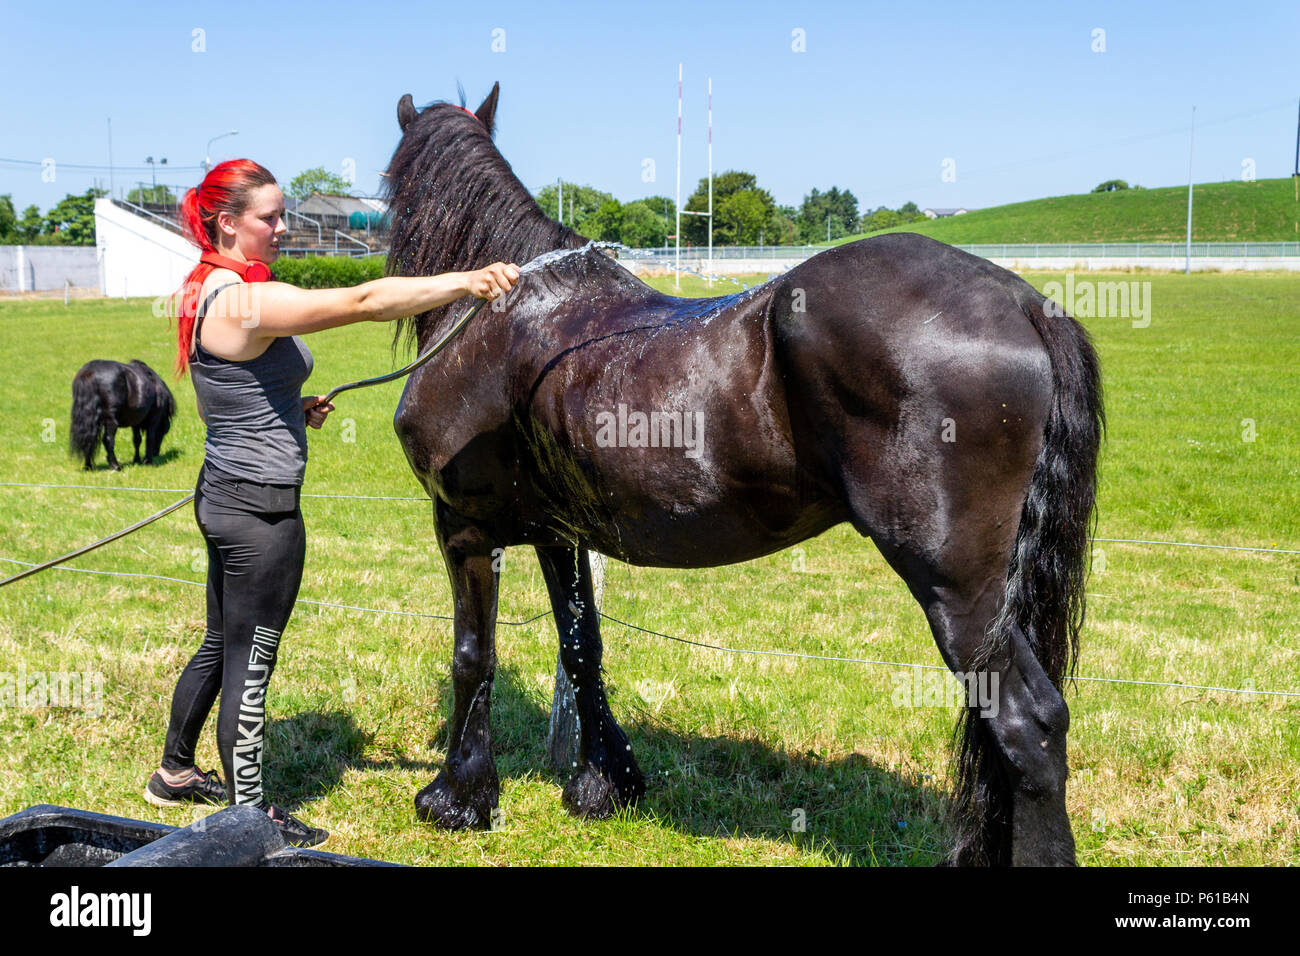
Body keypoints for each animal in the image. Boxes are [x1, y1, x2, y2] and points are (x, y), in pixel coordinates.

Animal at [379, 83, 1102, 868]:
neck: (496, 309)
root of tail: (1025, 303)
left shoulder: (465, 526)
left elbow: (472, 656)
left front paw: (457, 798)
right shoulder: (557, 535)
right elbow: (581, 649)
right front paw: (604, 785)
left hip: (958, 587)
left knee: (1028, 724)